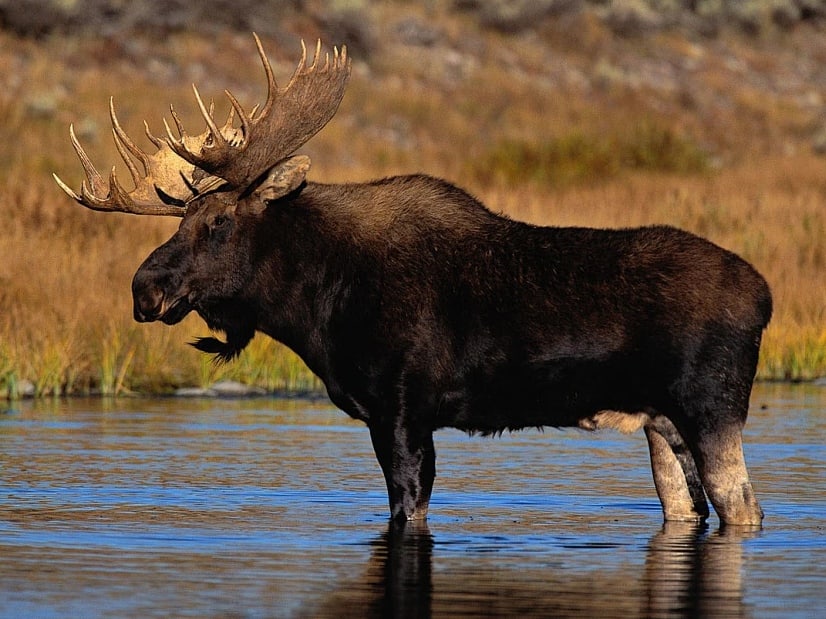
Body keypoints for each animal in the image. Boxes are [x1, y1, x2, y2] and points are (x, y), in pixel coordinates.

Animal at [54, 35, 771, 526]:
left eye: (220, 220)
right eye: (183, 217)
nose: (144, 289)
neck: (317, 305)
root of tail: (764, 294)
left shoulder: (400, 409)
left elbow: (408, 507)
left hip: (710, 406)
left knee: (744, 506)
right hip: (660, 424)